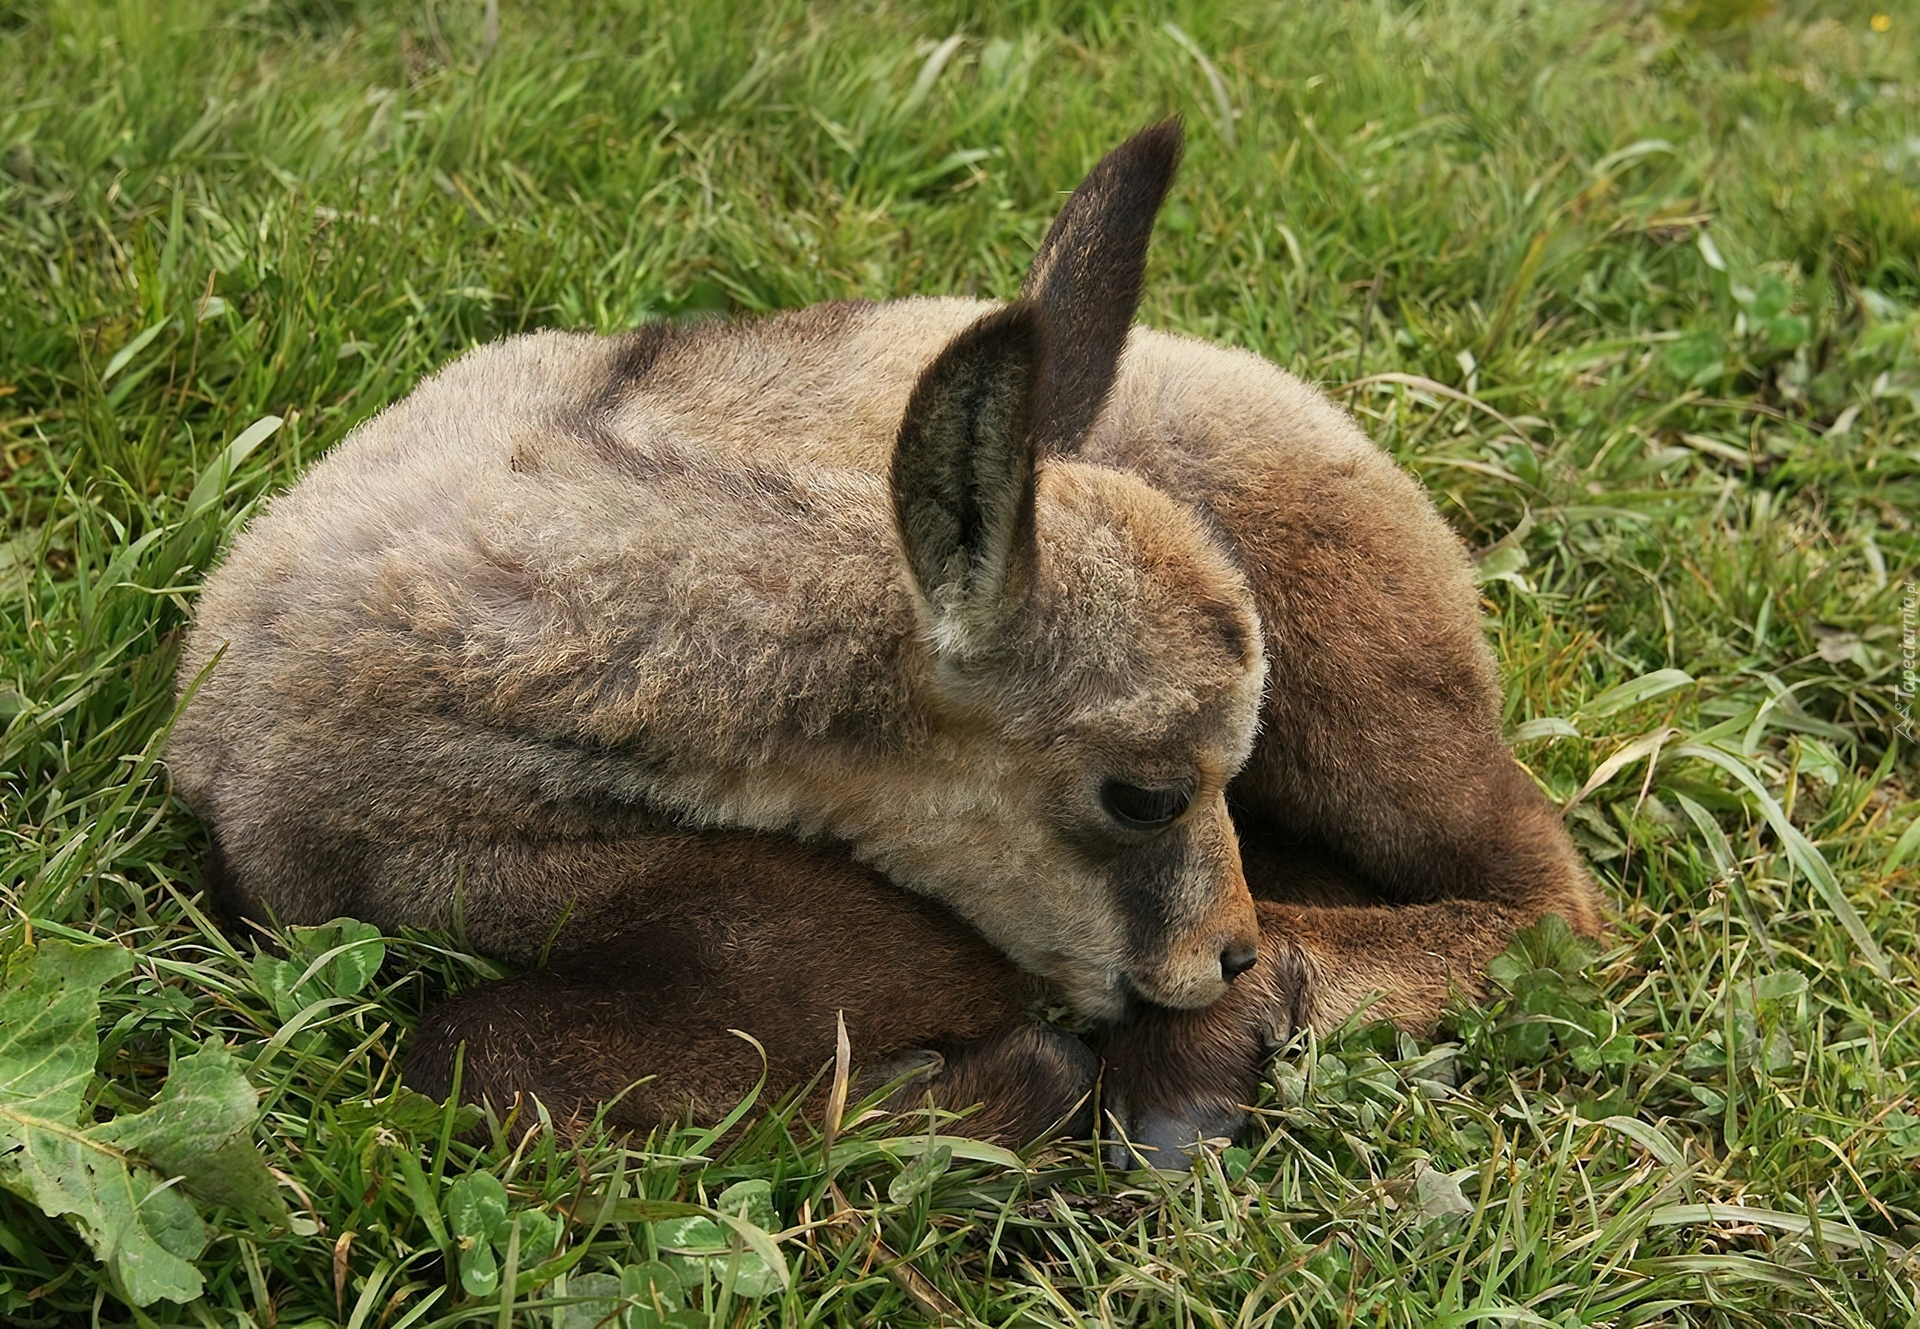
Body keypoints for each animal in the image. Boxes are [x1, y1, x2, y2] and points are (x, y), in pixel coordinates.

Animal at [172, 121, 1597, 1152]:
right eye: (1141, 794)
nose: (1224, 953)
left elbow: (469, 1053)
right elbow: (471, 1056)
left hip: (1359, 649)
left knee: (1556, 902)